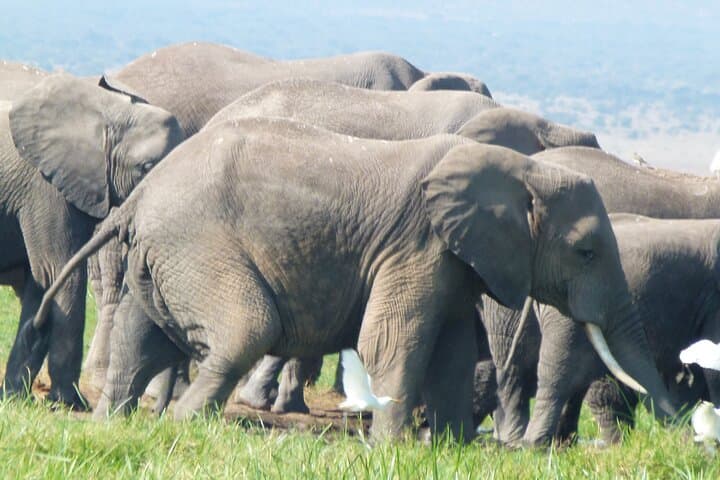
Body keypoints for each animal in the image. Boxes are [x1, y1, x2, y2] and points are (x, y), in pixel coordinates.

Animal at [0, 73, 183, 407]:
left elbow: (41, 282)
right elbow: (59, 272)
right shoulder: (45, 188)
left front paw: (15, 397)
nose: (158, 411)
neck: (107, 113)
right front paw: (70, 403)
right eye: (147, 168)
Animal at [34, 116, 676, 441]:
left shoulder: (453, 261)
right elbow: (393, 340)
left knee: (139, 340)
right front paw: (392, 451)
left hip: (164, 255)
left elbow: (448, 351)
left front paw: (448, 450)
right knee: (245, 328)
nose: (676, 436)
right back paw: (183, 426)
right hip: (197, 244)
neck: (524, 169)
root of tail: (138, 197)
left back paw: (109, 428)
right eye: (587, 252)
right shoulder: (417, 244)